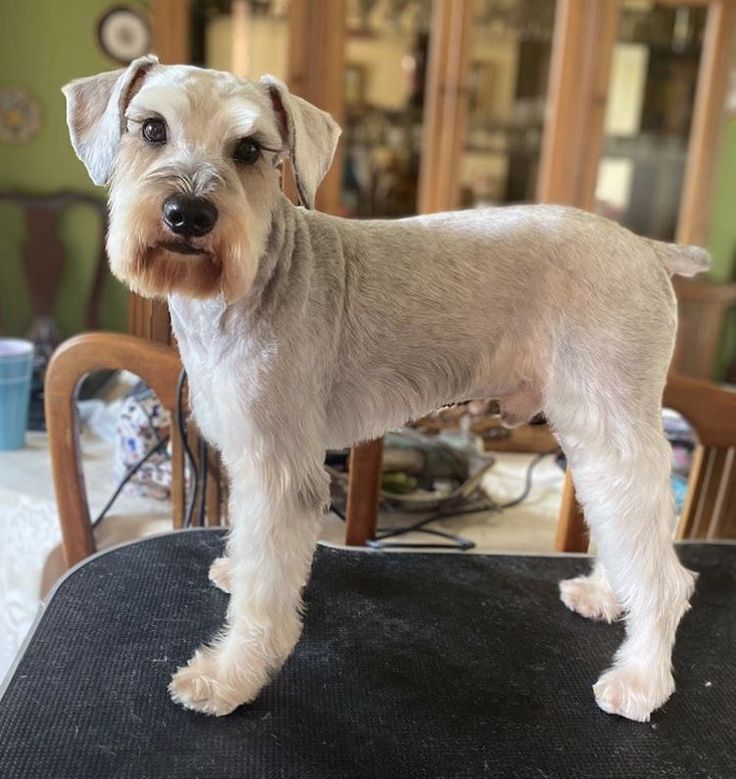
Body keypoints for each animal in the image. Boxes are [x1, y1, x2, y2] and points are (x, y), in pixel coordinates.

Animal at [66, 56, 712, 724]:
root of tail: (648, 250)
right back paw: (606, 595)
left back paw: (640, 679)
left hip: (613, 424)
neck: (254, 281)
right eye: (151, 129)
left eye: (248, 149)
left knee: (667, 575)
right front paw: (233, 575)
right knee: (622, 527)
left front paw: (228, 677)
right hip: (592, 439)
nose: (188, 214)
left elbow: (264, 599)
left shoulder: (282, 471)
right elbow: (248, 548)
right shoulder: (248, 457)